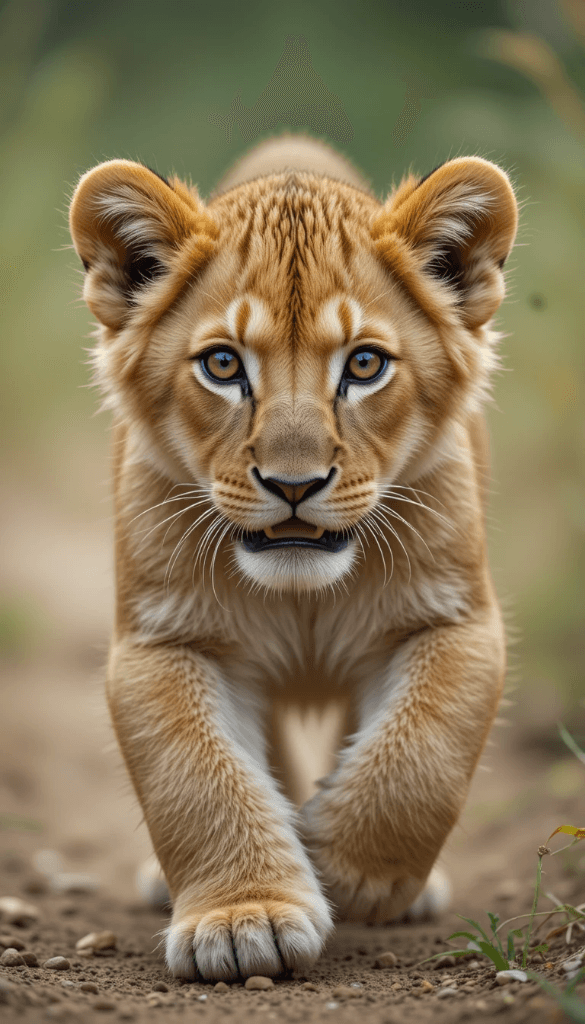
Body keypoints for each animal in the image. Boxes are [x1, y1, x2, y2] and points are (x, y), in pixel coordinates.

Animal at [68, 132, 517, 982]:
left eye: (365, 365)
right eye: (222, 366)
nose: (293, 485)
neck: (302, 594)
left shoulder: (453, 620)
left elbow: (419, 754)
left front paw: (342, 868)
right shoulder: (164, 638)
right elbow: (197, 776)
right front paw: (246, 918)